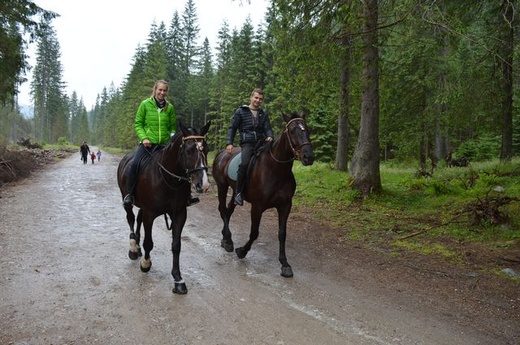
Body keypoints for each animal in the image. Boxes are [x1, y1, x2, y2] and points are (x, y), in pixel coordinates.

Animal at [116, 121, 209, 292]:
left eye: (207, 149)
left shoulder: (179, 214)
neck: (168, 179)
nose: (204, 184)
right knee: (131, 219)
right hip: (127, 200)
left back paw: (137, 247)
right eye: (188, 151)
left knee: (138, 219)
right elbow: (149, 242)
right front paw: (146, 264)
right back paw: (133, 248)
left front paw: (178, 279)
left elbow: (176, 245)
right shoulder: (150, 214)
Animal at [210, 110, 312, 276]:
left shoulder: (285, 206)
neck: (276, 170)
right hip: (222, 186)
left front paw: (285, 263)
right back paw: (229, 241)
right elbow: (254, 232)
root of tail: (222, 153)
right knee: (222, 210)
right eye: (292, 131)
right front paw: (242, 251)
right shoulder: (257, 207)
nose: (308, 157)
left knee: (228, 210)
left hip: (235, 191)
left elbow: (282, 233)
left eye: (307, 129)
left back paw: (225, 239)